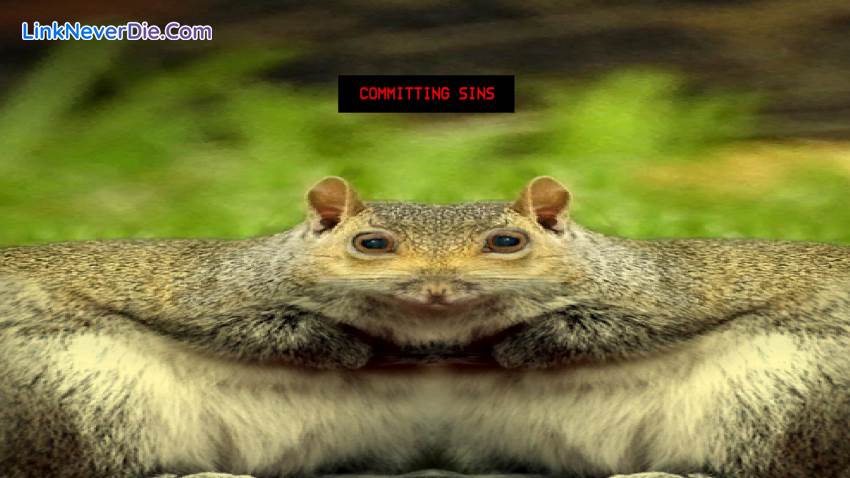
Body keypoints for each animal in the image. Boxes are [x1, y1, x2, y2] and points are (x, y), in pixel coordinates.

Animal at [2, 176, 849, 478]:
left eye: (509, 241)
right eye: (369, 243)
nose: (439, 292)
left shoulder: (646, 297)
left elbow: (587, 332)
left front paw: (505, 346)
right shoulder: (227, 297)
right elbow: (282, 333)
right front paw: (360, 348)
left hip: (783, 392)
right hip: (80, 390)